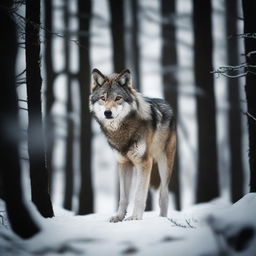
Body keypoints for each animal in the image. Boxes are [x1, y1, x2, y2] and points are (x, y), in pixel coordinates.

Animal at [89, 68, 176, 222]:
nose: (107, 112)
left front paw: (135, 217)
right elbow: (123, 197)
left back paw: (162, 219)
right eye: (103, 98)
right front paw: (119, 217)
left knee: (164, 195)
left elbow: (139, 195)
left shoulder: (144, 162)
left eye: (118, 98)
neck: (122, 131)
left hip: (164, 163)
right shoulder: (124, 163)